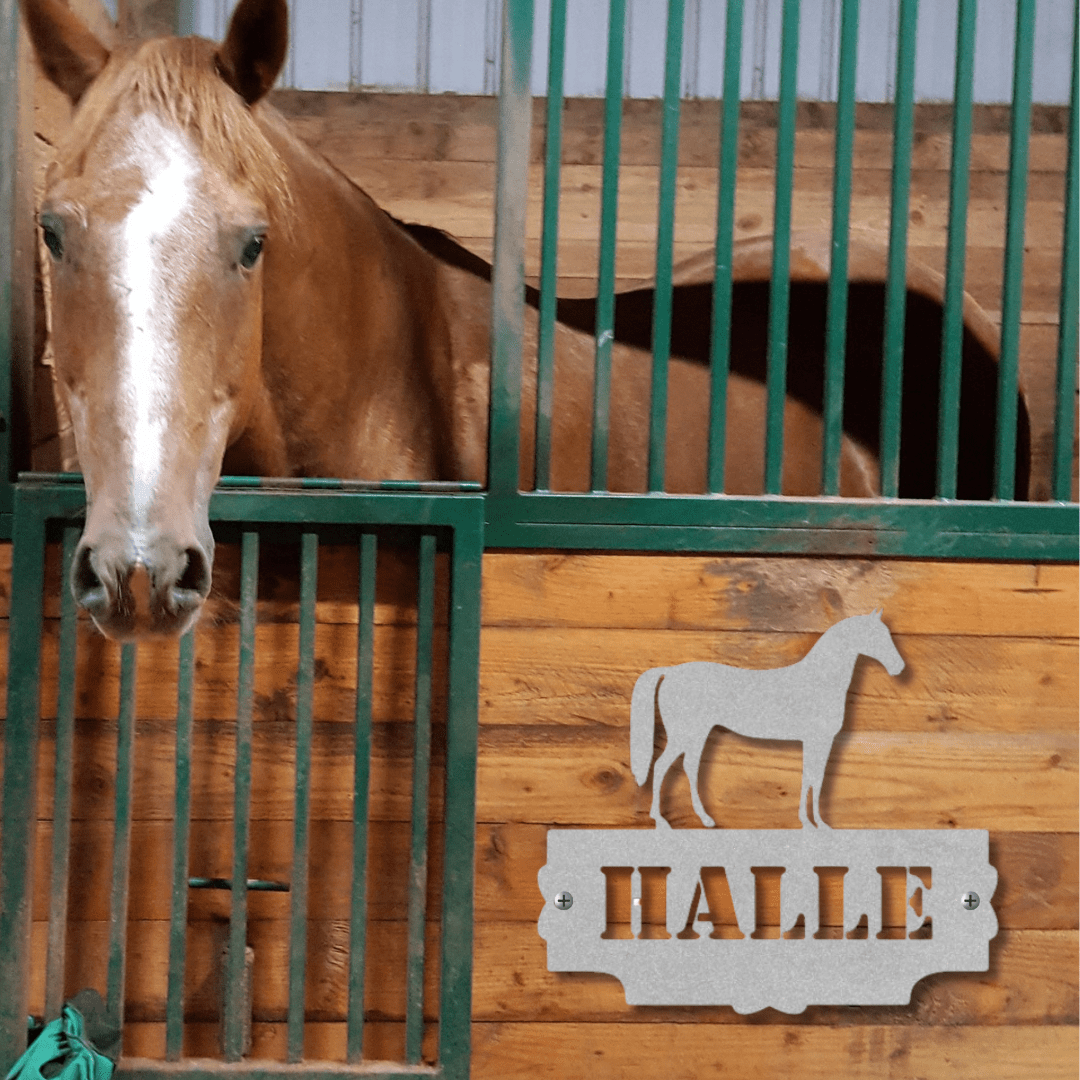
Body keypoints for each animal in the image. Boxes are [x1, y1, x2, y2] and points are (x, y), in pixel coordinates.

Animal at [630, 613, 907, 829]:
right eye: (876, 635)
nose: (899, 667)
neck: (818, 681)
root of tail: (669, 672)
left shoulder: (819, 741)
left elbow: (814, 777)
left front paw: (816, 822)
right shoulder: (817, 740)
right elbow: (812, 777)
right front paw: (811, 823)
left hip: (697, 734)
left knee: (688, 767)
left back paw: (705, 819)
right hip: (685, 734)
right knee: (662, 765)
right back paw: (662, 821)